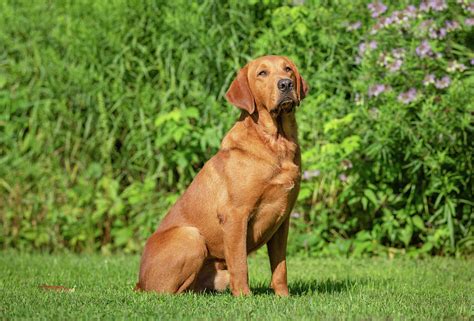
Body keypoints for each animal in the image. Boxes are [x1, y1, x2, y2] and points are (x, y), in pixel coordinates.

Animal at [135, 54, 310, 296]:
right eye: (262, 73)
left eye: (288, 69)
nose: (286, 84)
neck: (276, 142)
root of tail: (138, 282)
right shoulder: (235, 214)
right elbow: (240, 263)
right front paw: (245, 297)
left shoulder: (282, 219)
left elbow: (280, 267)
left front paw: (283, 296)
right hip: (192, 236)